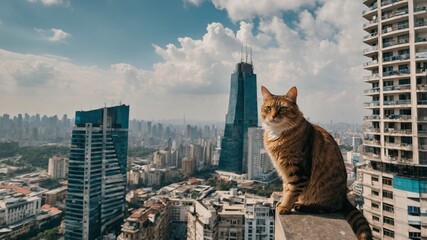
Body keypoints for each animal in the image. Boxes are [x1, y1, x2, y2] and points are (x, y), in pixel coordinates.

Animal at [260, 86, 372, 240]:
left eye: (282, 108)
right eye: (268, 108)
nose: (273, 116)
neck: (277, 134)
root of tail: (344, 196)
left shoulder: (298, 170)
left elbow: (292, 190)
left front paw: (285, 206)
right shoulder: (285, 172)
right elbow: (286, 188)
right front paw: (283, 202)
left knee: (330, 207)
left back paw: (303, 206)